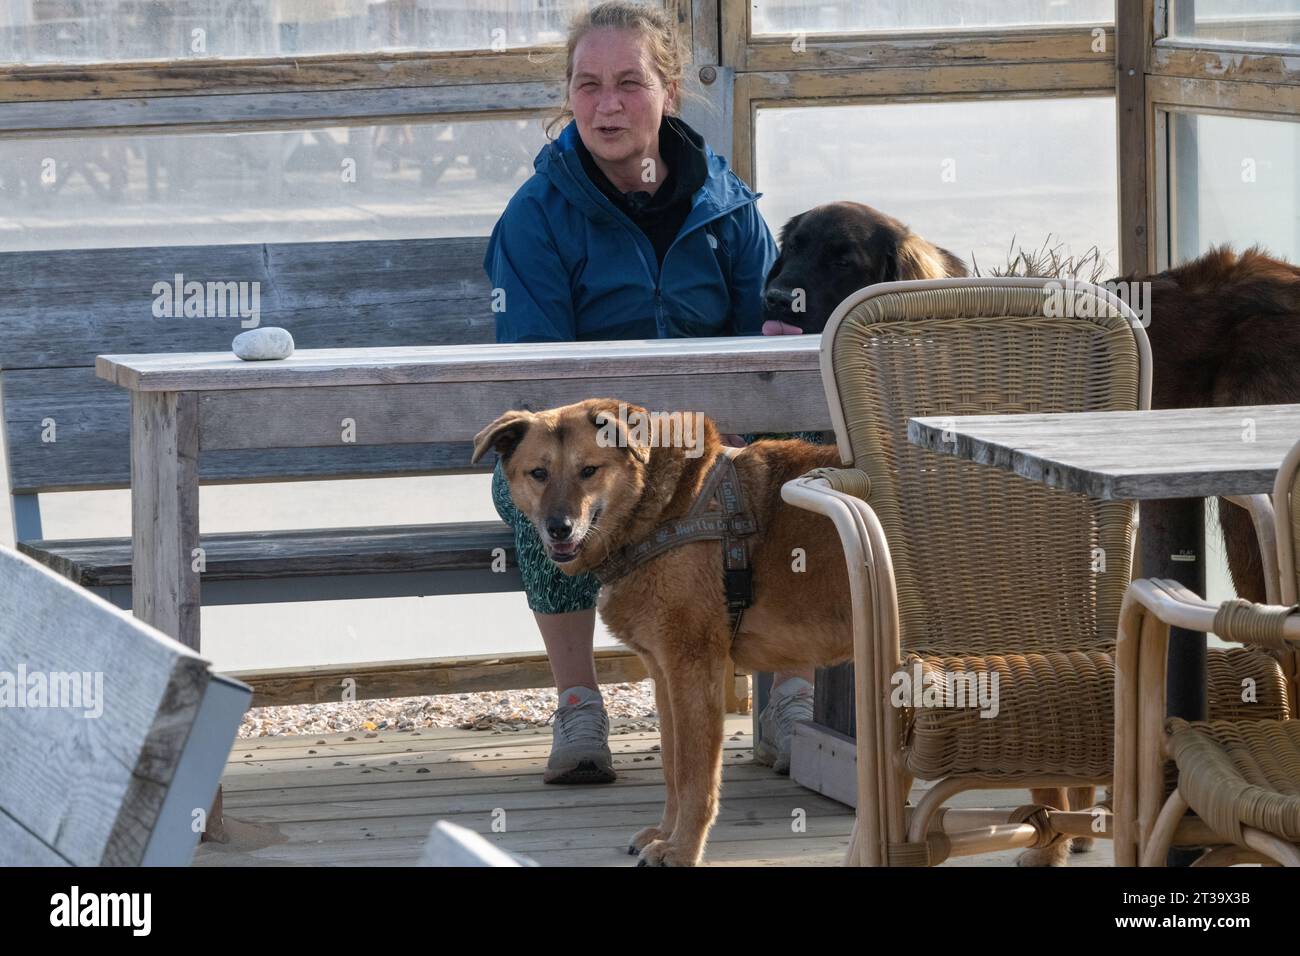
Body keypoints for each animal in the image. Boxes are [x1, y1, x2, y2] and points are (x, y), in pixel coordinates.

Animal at [473, 395, 847, 868]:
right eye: (538, 473)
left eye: (588, 470)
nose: (559, 528)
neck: (661, 506)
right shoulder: (664, 673)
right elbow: (671, 764)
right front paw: (665, 834)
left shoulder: (693, 671)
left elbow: (692, 774)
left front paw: (683, 849)